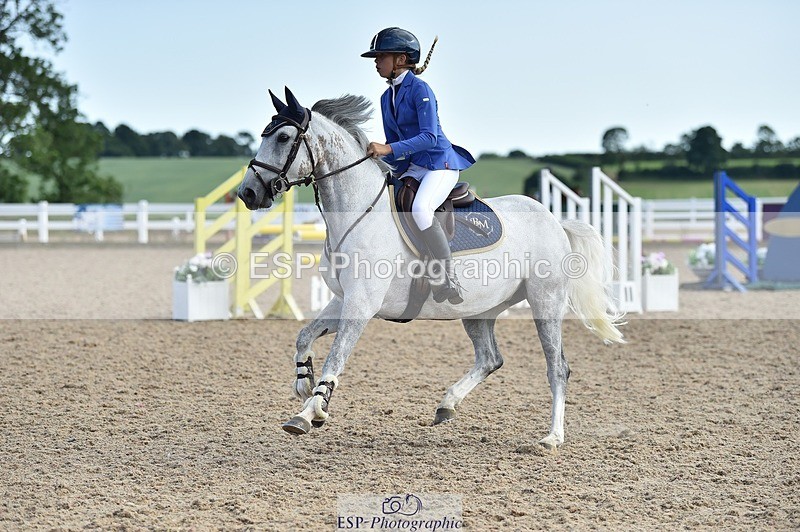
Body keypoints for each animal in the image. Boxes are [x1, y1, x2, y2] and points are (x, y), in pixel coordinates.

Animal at [237, 87, 624, 450]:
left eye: (283, 138)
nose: (248, 194)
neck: (357, 214)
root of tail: (555, 220)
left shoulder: (361, 305)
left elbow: (337, 358)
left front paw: (310, 412)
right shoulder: (345, 299)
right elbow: (304, 336)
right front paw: (303, 383)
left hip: (546, 301)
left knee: (557, 367)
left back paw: (552, 438)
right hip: (479, 309)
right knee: (490, 358)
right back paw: (447, 404)